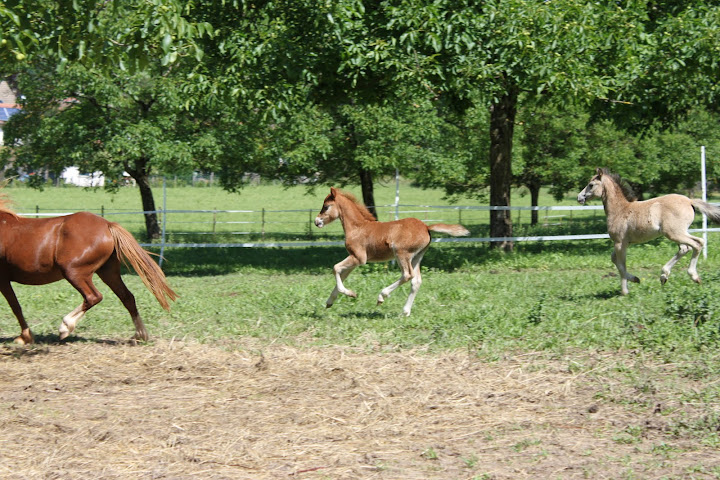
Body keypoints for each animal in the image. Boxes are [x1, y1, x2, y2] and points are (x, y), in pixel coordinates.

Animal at [0, 197, 179, 344]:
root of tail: (108, 225)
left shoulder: (3, 280)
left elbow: (15, 306)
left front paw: (24, 337)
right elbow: (15, 306)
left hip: (74, 272)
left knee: (93, 296)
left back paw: (65, 327)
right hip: (108, 272)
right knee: (127, 297)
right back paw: (140, 335)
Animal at [312, 187, 470, 316]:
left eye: (326, 207)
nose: (316, 221)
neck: (357, 227)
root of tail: (426, 227)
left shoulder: (359, 258)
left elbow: (335, 268)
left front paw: (351, 294)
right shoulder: (354, 259)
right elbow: (341, 275)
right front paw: (330, 302)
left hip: (401, 253)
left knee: (407, 275)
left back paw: (382, 296)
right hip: (416, 257)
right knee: (416, 281)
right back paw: (405, 312)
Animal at [576, 169, 720, 296]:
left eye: (591, 185)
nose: (579, 197)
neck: (620, 210)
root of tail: (690, 201)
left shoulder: (619, 243)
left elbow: (622, 265)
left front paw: (626, 290)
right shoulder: (625, 243)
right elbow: (614, 259)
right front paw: (634, 280)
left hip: (674, 233)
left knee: (697, 243)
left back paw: (694, 277)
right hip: (679, 233)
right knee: (686, 248)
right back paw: (664, 276)